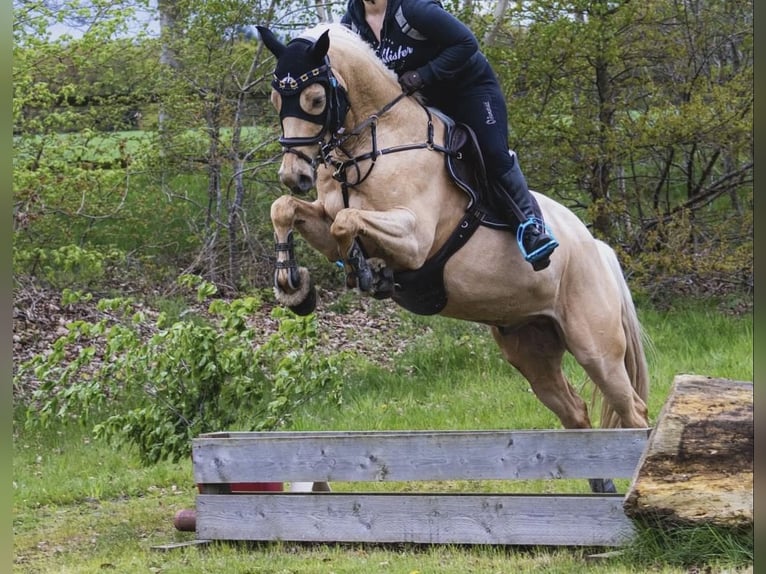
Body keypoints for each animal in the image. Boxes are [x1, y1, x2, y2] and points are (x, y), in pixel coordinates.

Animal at [257, 23, 650, 493]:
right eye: (274, 99)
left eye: (315, 100)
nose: (294, 175)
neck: (374, 145)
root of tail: (598, 248)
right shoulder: (322, 216)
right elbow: (287, 210)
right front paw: (294, 288)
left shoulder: (415, 239)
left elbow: (347, 222)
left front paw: (369, 271)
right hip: (530, 347)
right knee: (576, 413)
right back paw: (602, 488)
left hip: (596, 347)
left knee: (634, 413)